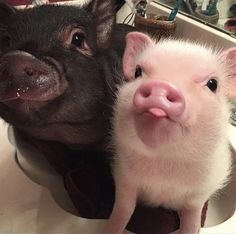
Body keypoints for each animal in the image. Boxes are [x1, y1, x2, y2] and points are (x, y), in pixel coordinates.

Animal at [104, 31, 235, 234]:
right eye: (138, 72)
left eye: (213, 84)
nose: (161, 85)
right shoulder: (123, 174)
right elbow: (124, 208)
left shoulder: (201, 192)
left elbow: (193, 217)